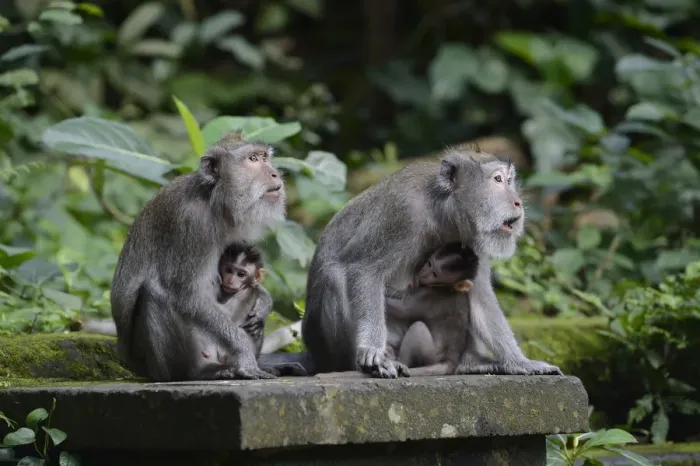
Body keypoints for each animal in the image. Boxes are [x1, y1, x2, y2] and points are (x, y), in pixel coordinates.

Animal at [110, 131, 307, 382]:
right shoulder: (193, 224)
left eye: (264, 157)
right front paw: (245, 355)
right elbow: (187, 295)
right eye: (253, 159)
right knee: (155, 291)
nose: (274, 173)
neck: (213, 199)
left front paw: (264, 302)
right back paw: (201, 373)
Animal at [302, 148, 563, 378]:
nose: (517, 202)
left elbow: (480, 294)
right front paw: (372, 350)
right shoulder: (403, 211)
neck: (443, 210)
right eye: (497, 180)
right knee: (334, 275)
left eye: (509, 180)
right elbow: (365, 270)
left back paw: (470, 363)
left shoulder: (472, 237)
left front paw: (520, 362)